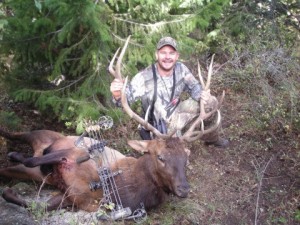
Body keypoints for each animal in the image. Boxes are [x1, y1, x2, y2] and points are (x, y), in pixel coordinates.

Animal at [0, 36, 220, 218]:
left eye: (186, 157)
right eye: (160, 157)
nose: (184, 188)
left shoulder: (74, 197)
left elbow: (32, 205)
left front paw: (10, 188)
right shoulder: (75, 154)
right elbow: (39, 160)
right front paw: (21, 157)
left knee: (10, 167)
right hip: (44, 134)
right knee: (17, 135)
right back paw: (14, 149)